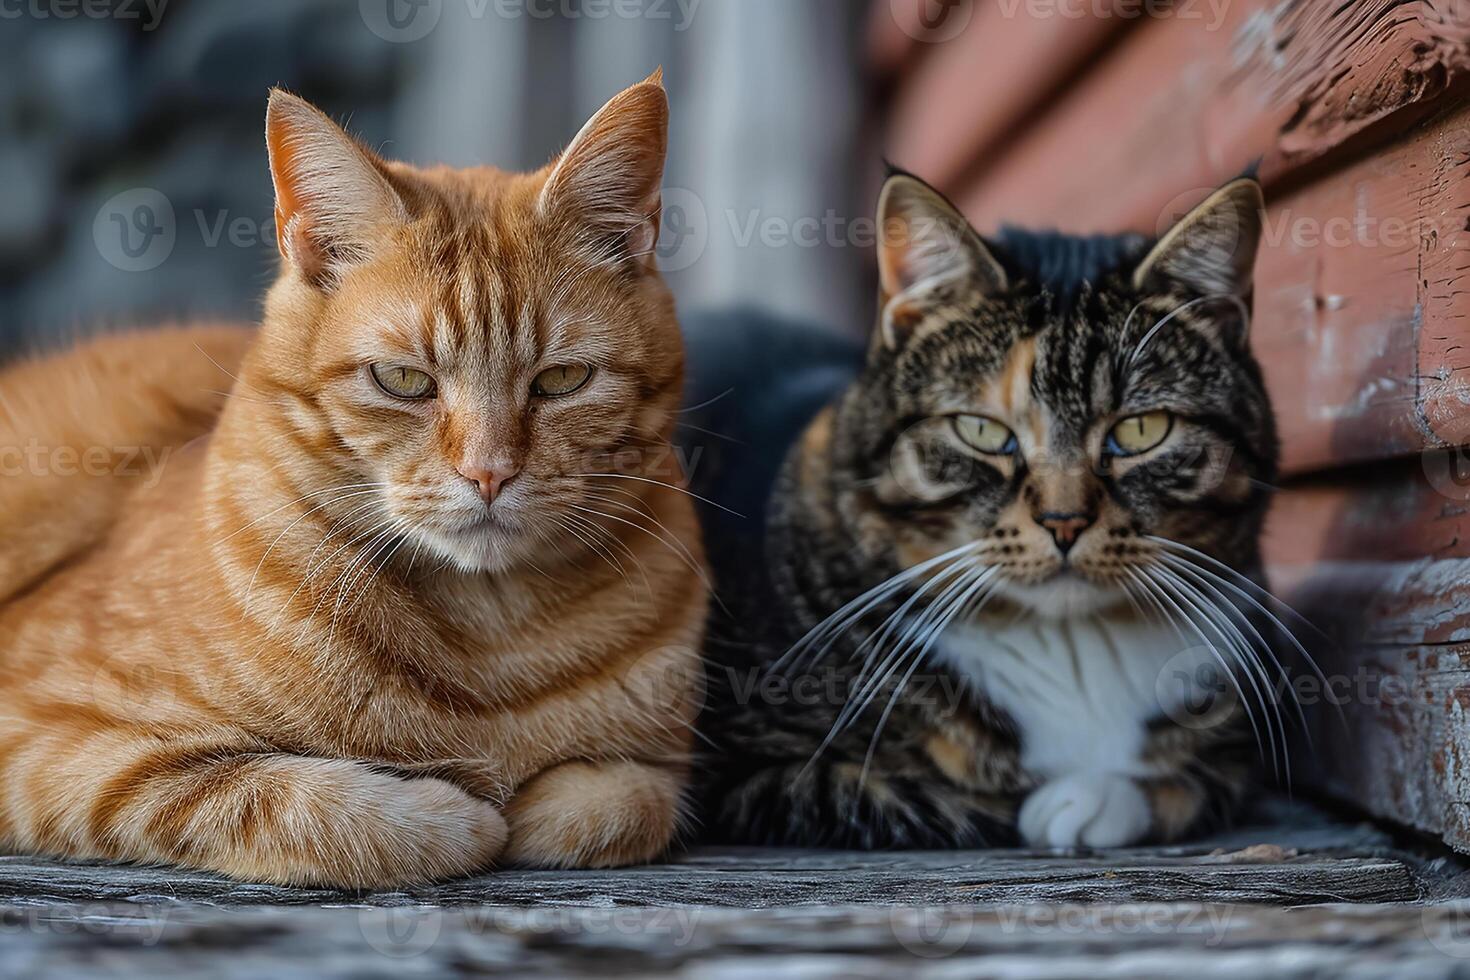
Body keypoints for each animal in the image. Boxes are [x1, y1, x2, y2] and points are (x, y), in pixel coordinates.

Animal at [0, 72, 711, 887]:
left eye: (562, 381)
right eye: (403, 381)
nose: (490, 472)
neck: (491, 641)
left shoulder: (657, 769)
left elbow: (620, 805)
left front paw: (535, 807)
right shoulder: (50, 736)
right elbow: (305, 803)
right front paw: (461, 815)